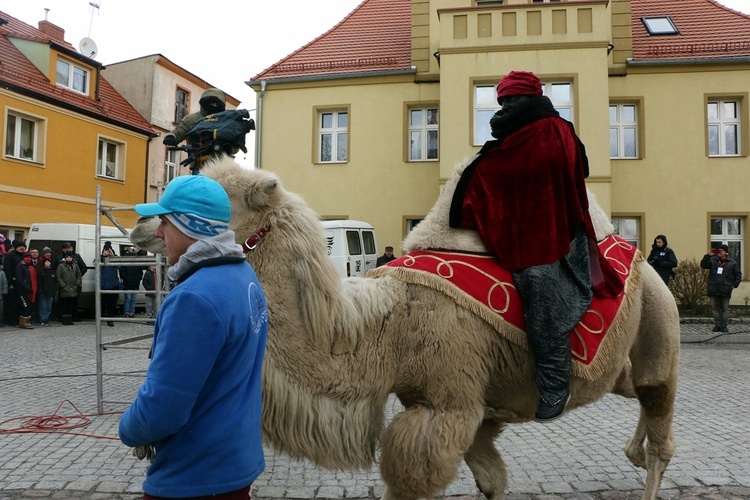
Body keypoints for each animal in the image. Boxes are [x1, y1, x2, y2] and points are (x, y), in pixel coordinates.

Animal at [132, 157, 684, 500]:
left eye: (216, 199)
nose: (142, 225)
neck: (389, 326)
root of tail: (642, 262)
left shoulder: (448, 404)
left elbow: (410, 477)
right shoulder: (476, 411)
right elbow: (492, 481)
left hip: (659, 323)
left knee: (660, 418)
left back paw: (646, 459)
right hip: (613, 366)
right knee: (635, 396)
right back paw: (632, 453)